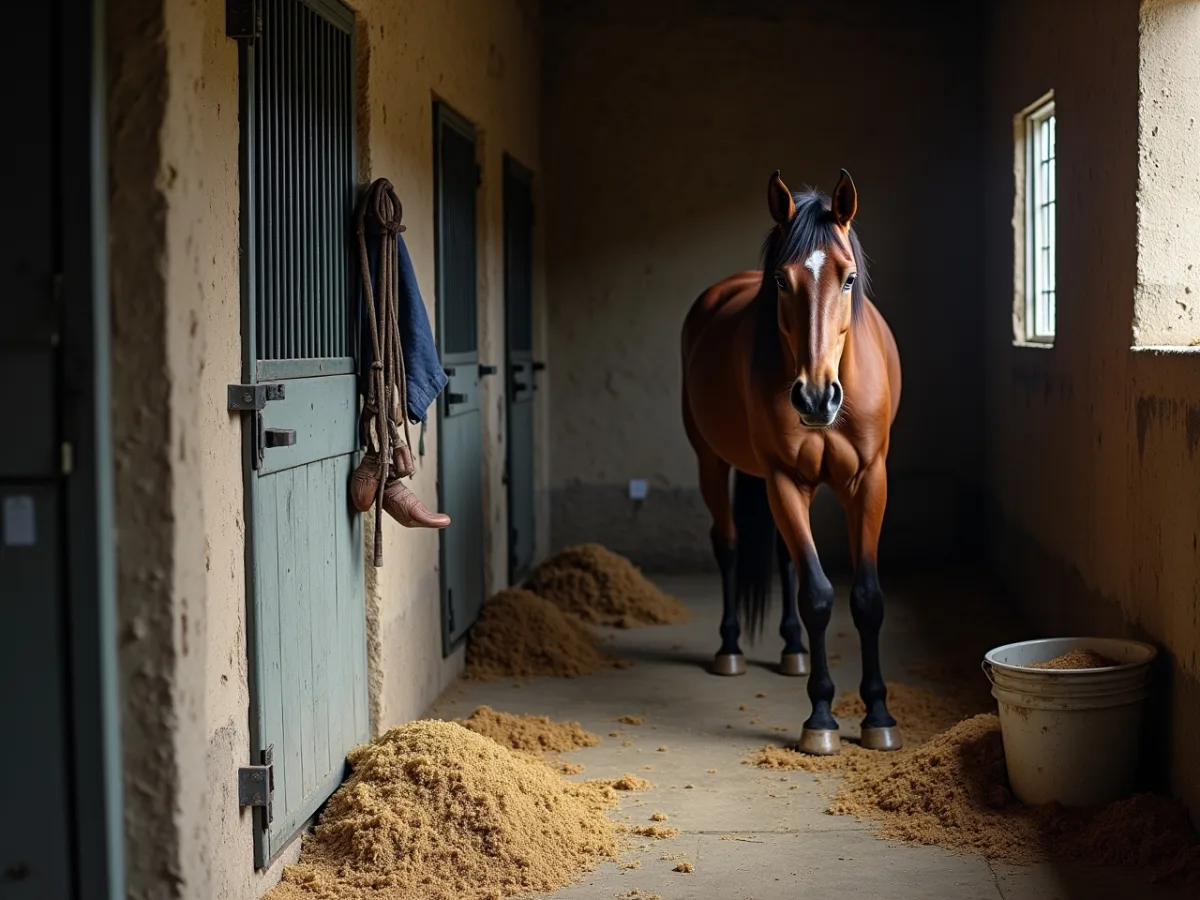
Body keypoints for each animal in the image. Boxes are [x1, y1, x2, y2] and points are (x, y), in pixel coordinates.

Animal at [680, 169, 902, 756]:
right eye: (782, 281)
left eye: (848, 279)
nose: (817, 397)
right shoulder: (782, 480)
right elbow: (819, 595)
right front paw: (821, 716)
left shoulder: (869, 481)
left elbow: (866, 598)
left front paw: (878, 715)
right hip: (711, 462)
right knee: (729, 545)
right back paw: (730, 648)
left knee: (784, 557)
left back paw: (793, 649)